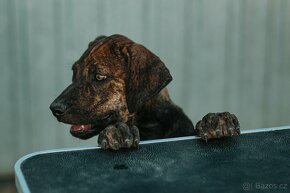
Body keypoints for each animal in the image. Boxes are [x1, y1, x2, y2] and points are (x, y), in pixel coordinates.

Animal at [49, 34, 240, 149]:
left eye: (99, 76)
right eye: (74, 73)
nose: (54, 109)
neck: (148, 126)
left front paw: (217, 120)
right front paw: (118, 131)